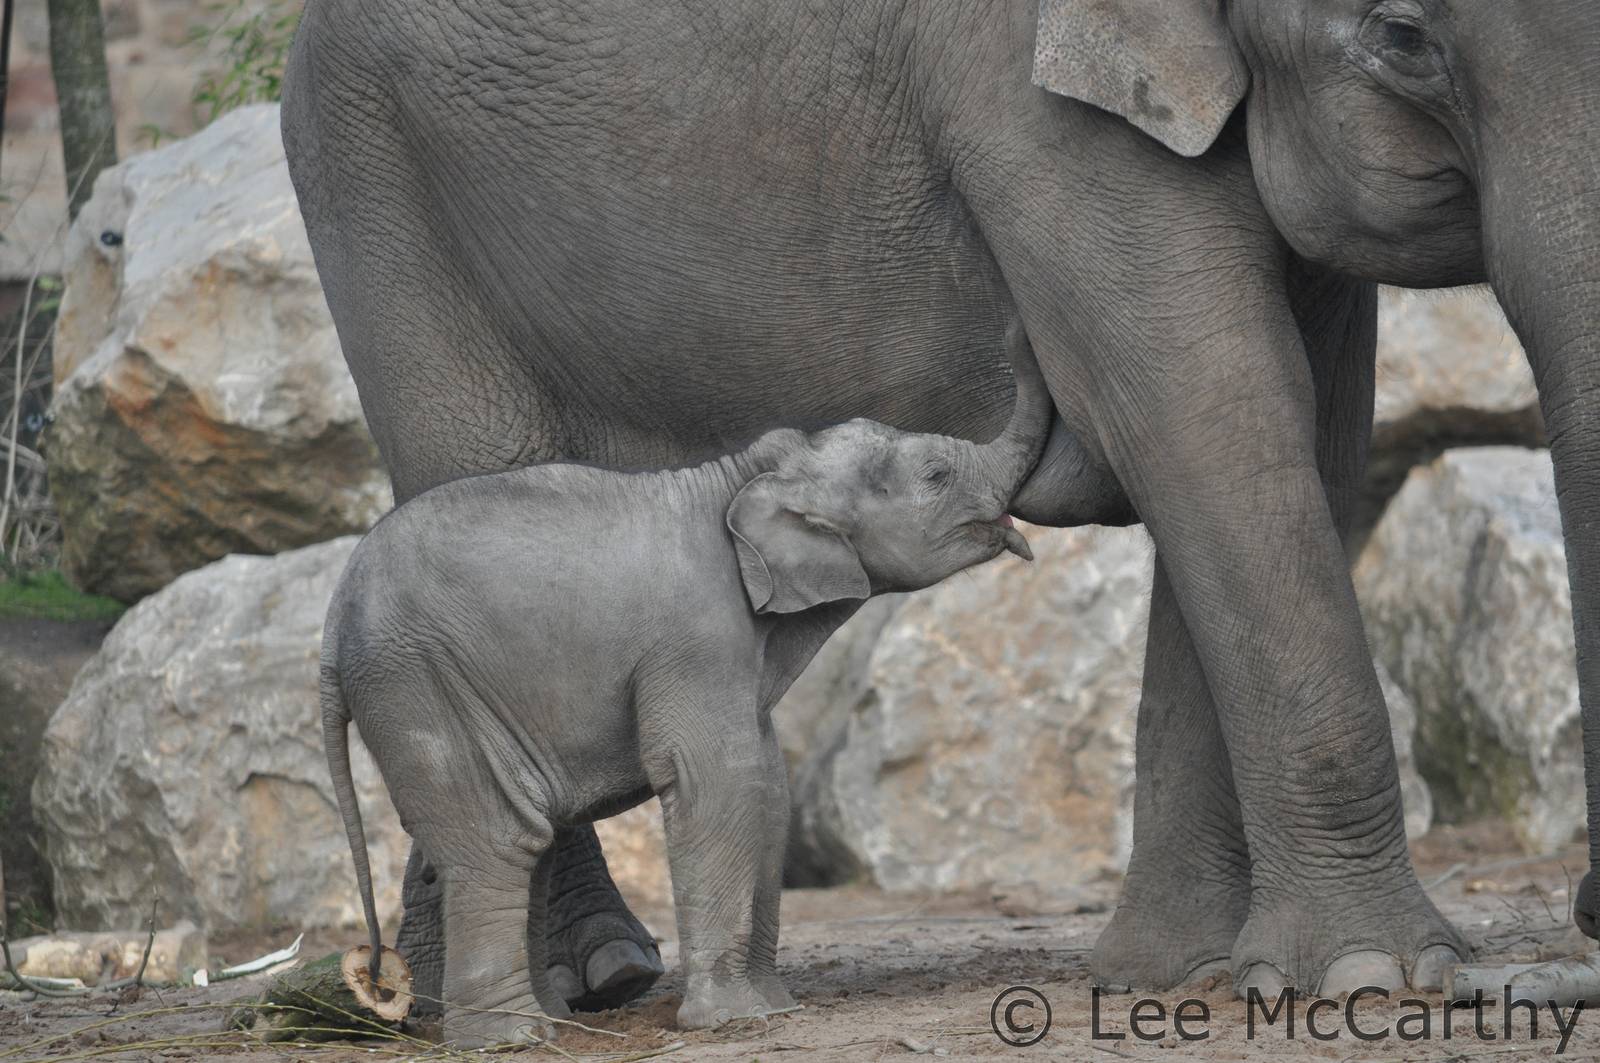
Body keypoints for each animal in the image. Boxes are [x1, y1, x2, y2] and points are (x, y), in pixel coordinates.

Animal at [321, 329, 1049, 1045]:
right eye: (937, 475)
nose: (1019, 332)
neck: (743, 474)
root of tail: (332, 626)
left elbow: (769, 788)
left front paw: (775, 1009)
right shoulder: (697, 635)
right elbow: (720, 777)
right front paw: (732, 1021)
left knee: (533, 833)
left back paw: (552, 1021)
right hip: (418, 681)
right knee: (501, 836)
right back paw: (513, 1038)